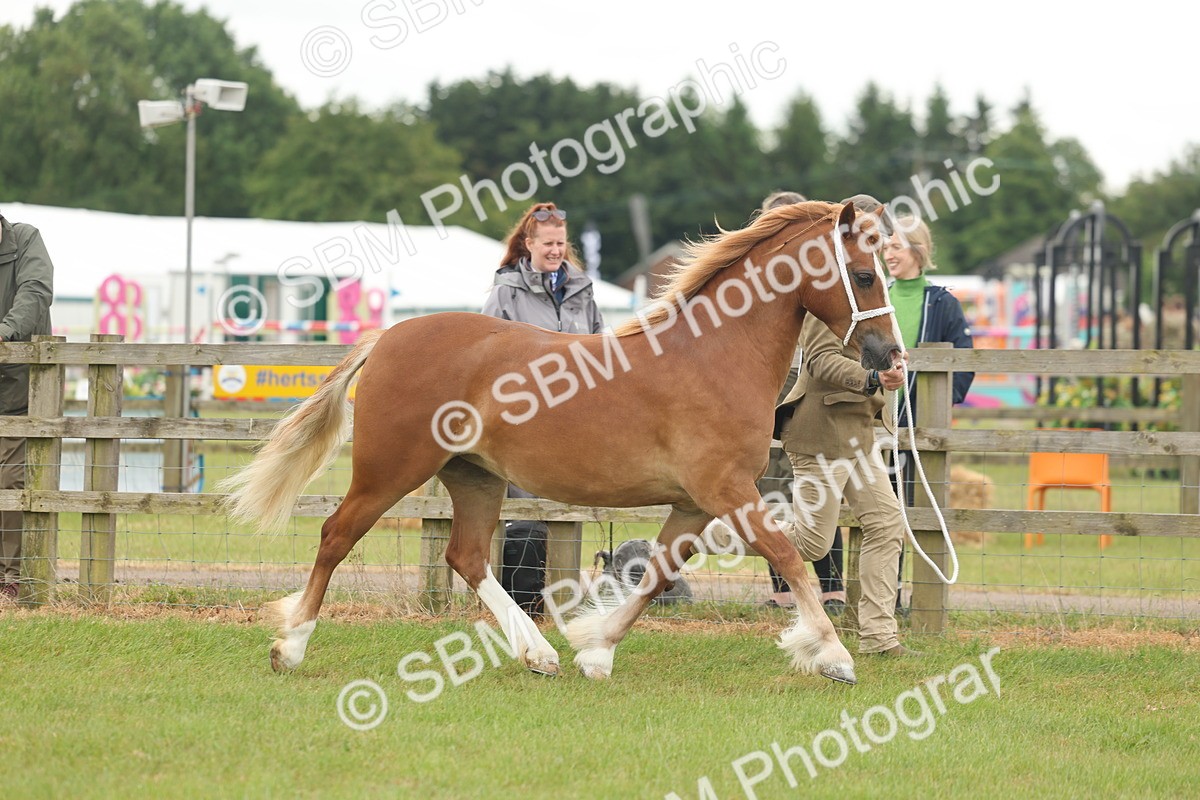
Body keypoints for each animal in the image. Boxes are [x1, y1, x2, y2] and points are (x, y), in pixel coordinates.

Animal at [221, 200, 901, 685]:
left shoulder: (693, 503)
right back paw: (291, 647)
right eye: (864, 274)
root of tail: (388, 336)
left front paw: (594, 651)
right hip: (390, 470)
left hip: (474, 476)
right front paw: (834, 656)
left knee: (467, 556)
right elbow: (790, 559)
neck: (712, 355)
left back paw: (539, 653)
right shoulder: (727, 491)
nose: (889, 358)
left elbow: (656, 576)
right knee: (336, 536)